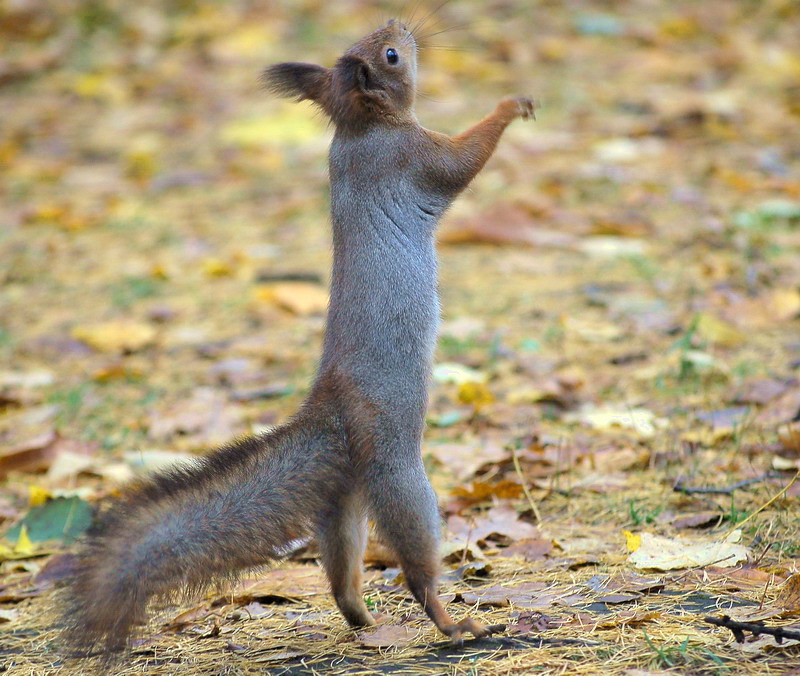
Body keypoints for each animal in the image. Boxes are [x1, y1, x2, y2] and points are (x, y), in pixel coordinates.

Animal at [62, 19, 536, 656]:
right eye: (391, 54)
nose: (400, 24)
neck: (360, 127)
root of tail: (330, 412)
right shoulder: (413, 158)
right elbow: (463, 159)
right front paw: (511, 106)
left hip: (343, 498)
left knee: (339, 564)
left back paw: (363, 618)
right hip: (398, 470)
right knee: (415, 559)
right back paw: (453, 620)